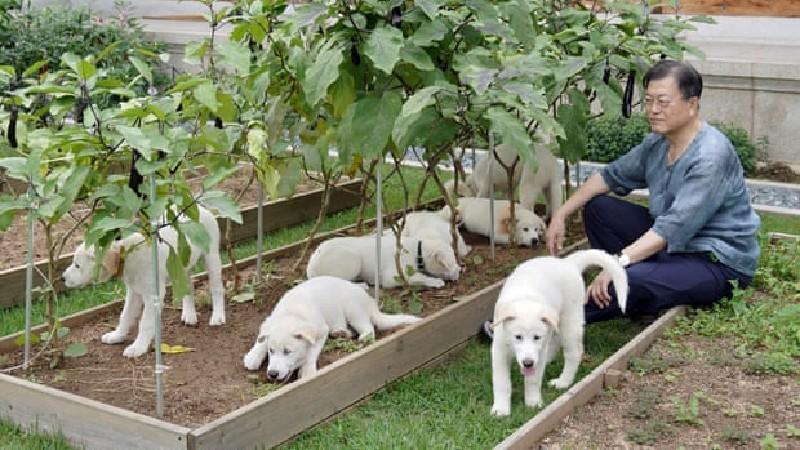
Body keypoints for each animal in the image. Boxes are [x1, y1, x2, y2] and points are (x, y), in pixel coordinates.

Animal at [61, 207, 225, 358]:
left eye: (77, 265)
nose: (62, 278)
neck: (127, 255)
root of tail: (200, 208)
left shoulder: (152, 296)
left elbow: (145, 323)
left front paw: (138, 347)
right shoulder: (133, 292)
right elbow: (125, 316)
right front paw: (117, 336)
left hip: (212, 257)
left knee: (217, 289)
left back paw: (217, 316)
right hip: (181, 265)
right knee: (188, 287)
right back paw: (189, 314)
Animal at [242, 276, 418, 382]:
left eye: (288, 352)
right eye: (271, 351)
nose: (272, 374)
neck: (293, 313)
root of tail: (370, 301)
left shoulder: (321, 330)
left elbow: (311, 352)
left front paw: (307, 371)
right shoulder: (269, 322)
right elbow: (261, 339)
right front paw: (253, 356)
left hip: (353, 309)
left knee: (368, 327)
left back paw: (362, 338)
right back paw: (341, 333)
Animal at [306, 232, 460, 288]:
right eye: (449, 264)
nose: (460, 272)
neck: (418, 250)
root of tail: (311, 268)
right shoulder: (395, 275)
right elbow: (418, 277)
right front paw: (435, 281)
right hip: (352, 259)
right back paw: (362, 285)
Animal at [490, 250, 628, 414]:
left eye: (536, 337)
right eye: (517, 337)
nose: (528, 363)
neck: (526, 298)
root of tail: (568, 263)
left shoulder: (539, 348)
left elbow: (533, 380)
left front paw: (533, 402)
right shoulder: (499, 350)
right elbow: (502, 383)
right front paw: (500, 409)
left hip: (570, 322)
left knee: (573, 353)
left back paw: (563, 381)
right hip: (555, 324)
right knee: (555, 343)